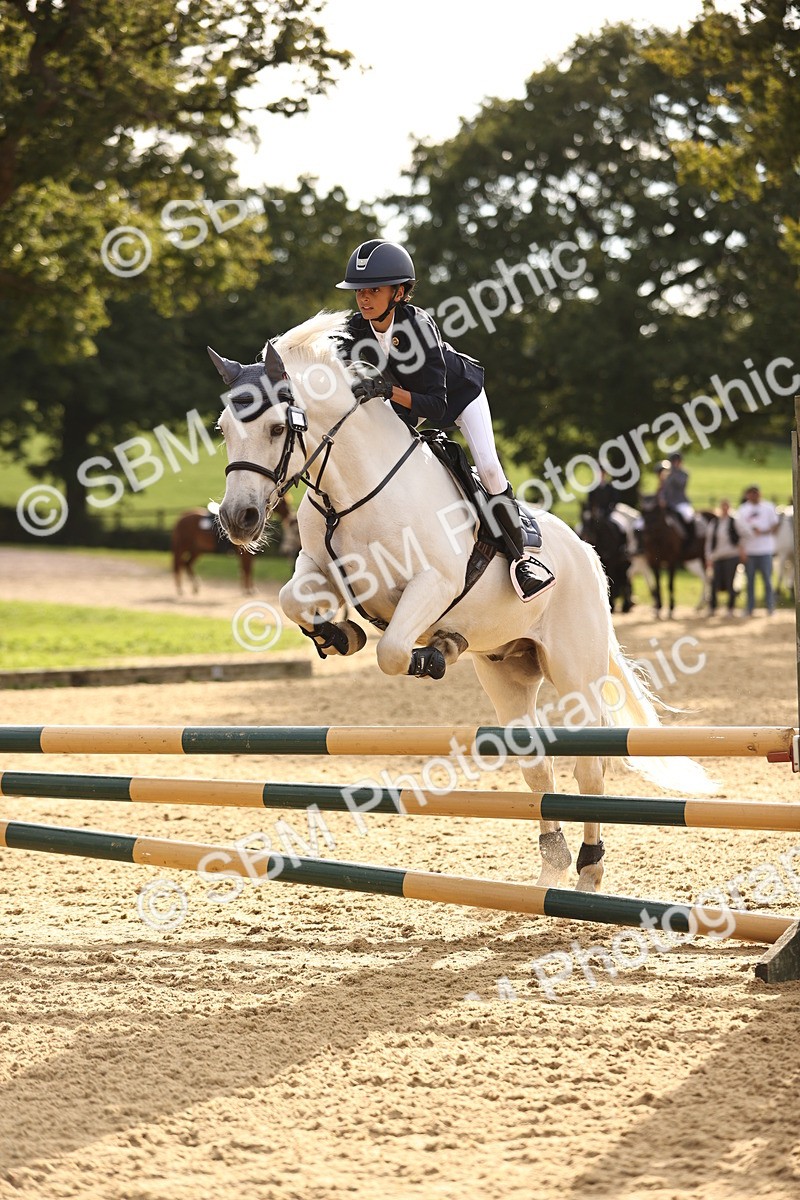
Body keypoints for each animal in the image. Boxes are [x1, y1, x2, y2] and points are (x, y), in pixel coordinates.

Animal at [171, 500, 299, 595]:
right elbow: (247, 569)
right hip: (182, 547)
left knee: (186, 564)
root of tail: (181, 518)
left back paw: (195, 586)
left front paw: (248, 588)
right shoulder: (246, 555)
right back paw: (180, 589)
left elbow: (247, 569)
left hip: (196, 550)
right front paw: (248, 590)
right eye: (284, 502)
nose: (290, 514)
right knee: (178, 565)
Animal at [209, 310, 712, 893]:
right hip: (507, 671)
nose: (237, 519)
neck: (352, 489)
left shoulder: (434, 583)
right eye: (223, 430)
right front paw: (340, 634)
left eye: (275, 428)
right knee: (537, 763)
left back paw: (589, 871)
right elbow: (294, 599)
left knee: (590, 764)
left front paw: (432, 653)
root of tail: (588, 553)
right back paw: (553, 862)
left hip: (576, 670)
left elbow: (393, 651)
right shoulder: (324, 569)